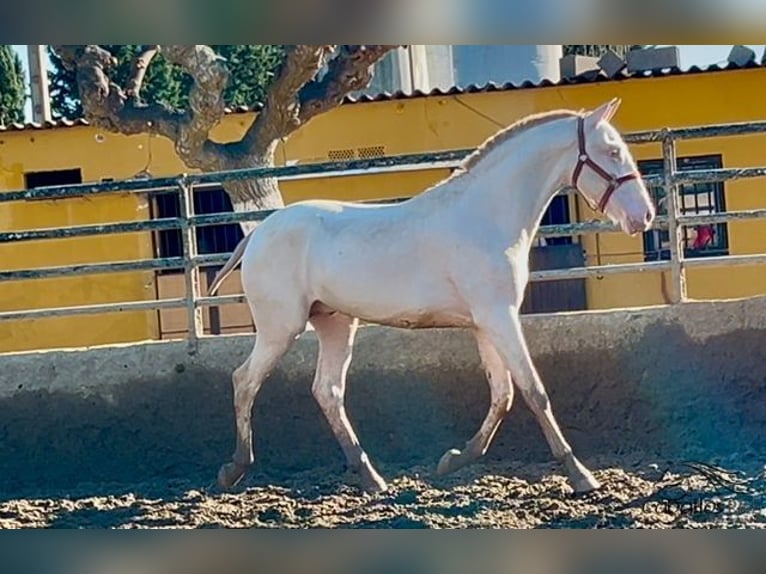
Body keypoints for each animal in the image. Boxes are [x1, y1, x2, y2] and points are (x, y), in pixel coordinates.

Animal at [207, 99, 656, 496]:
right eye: (613, 151)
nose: (645, 216)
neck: (486, 215)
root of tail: (258, 233)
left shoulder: (485, 324)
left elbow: (503, 395)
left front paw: (453, 459)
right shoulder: (499, 316)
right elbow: (533, 392)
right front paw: (581, 475)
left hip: (335, 322)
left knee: (327, 391)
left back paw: (372, 478)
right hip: (281, 328)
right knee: (245, 381)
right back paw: (234, 469)